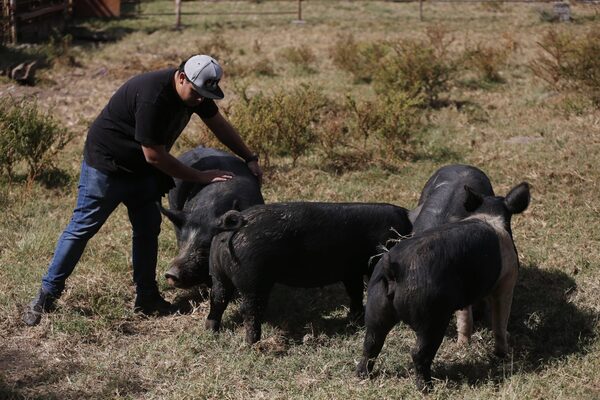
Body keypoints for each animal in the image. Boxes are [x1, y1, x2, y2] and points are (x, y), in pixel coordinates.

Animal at [206, 203, 412, 344]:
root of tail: (231, 230)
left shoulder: (351, 271)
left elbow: (354, 292)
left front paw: (355, 320)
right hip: (253, 279)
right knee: (249, 309)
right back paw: (253, 343)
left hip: (217, 272)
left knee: (217, 299)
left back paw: (211, 330)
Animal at [356, 182, 528, 390]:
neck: (489, 214)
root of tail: (394, 270)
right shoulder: (506, 281)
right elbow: (500, 321)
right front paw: (503, 355)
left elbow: (465, 318)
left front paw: (463, 345)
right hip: (431, 316)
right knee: (418, 353)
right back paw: (427, 387)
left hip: (376, 304)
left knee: (371, 342)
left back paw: (362, 376)